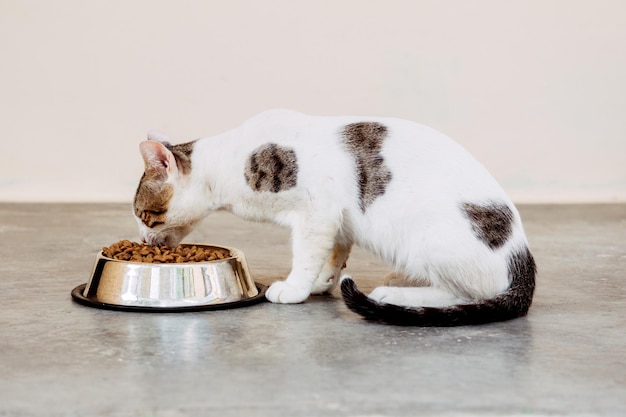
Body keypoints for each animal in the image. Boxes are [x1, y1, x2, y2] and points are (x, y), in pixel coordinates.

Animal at [132, 109, 532, 324]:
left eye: (143, 215)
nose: (141, 239)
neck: (232, 161)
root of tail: (523, 261)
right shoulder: (338, 220)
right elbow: (334, 251)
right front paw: (322, 281)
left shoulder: (317, 210)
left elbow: (306, 254)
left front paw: (295, 288)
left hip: (426, 237)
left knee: (462, 294)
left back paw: (394, 293)